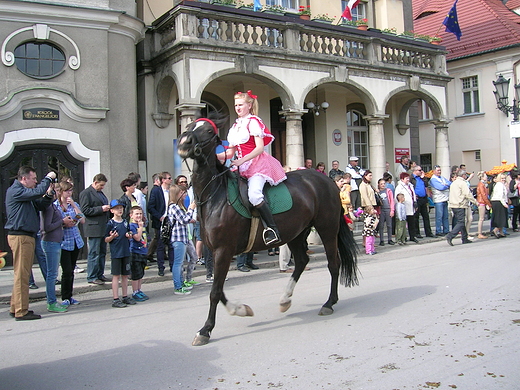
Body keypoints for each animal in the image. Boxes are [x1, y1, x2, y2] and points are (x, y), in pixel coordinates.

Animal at [179, 114, 358, 346]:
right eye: (191, 125)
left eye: (208, 131)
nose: (184, 143)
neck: (215, 195)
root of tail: (327, 180)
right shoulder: (218, 252)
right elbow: (218, 291)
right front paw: (241, 310)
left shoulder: (223, 251)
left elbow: (215, 292)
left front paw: (205, 330)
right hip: (296, 233)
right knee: (302, 261)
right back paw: (285, 300)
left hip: (326, 229)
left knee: (333, 263)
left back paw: (328, 303)